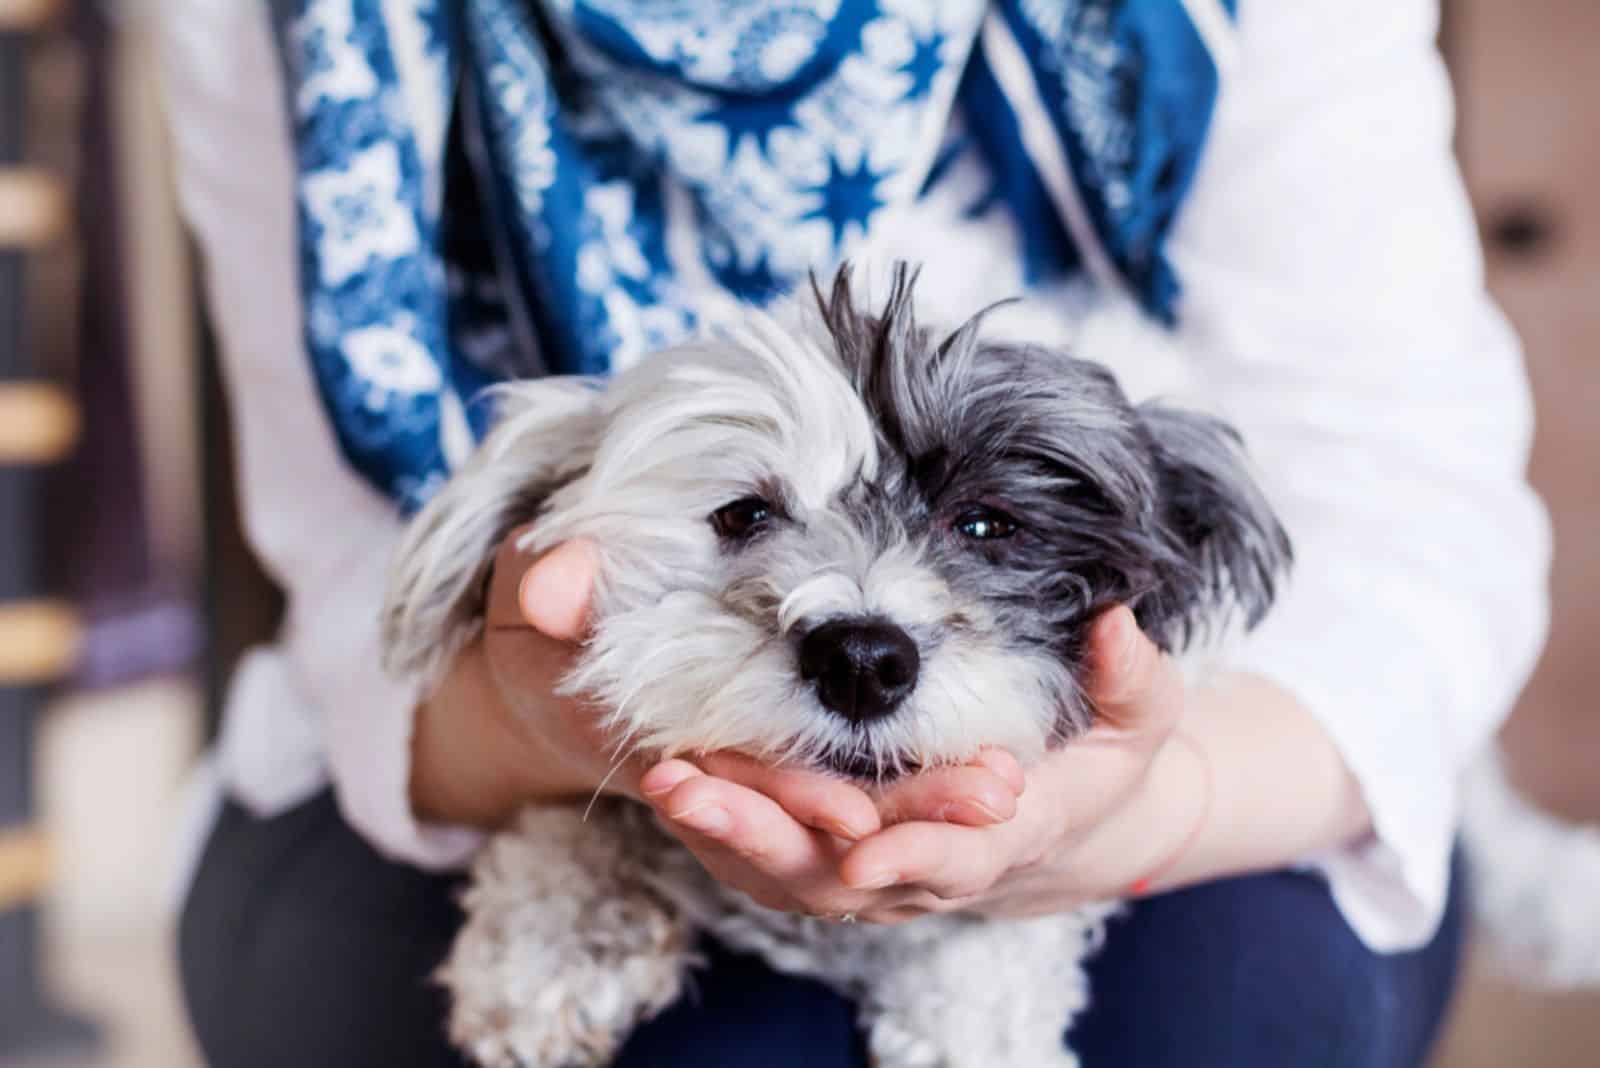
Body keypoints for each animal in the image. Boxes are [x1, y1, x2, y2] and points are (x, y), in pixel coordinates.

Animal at [380, 265, 1292, 1068]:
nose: (861, 659)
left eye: (987, 525)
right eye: (743, 515)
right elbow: (564, 827)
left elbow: (987, 969)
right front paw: (555, 948)